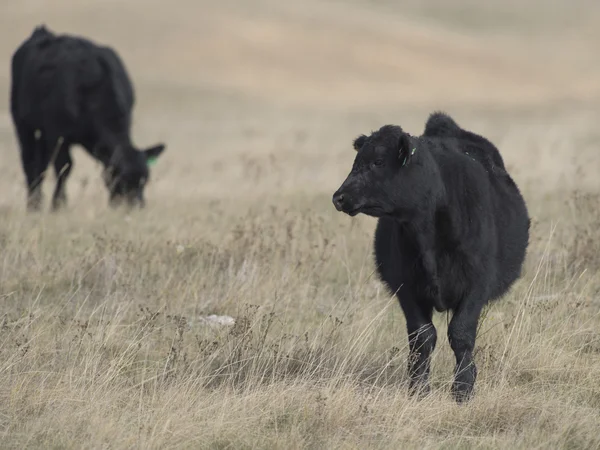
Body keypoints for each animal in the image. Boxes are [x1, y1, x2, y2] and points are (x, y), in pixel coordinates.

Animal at [11, 25, 166, 212]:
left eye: (145, 179)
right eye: (119, 178)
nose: (136, 206)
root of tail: (43, 31)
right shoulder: (57, 132)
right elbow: (64, 167)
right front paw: (59, 205)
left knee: (41, 163)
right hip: (22, 122)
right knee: (29, 162)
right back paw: (33, 205)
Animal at [332, 111, 528, 400]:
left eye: (378, 162)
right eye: (356, 162)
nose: (339, 197)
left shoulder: (477, 284)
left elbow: (461, 333)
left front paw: (463, 389)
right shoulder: (406, 286)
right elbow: (422, 336)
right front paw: (418, 387)